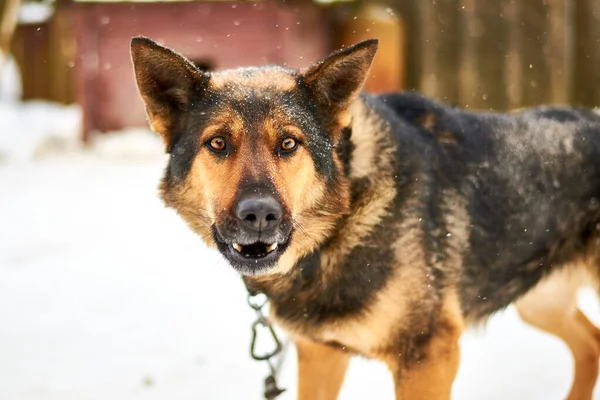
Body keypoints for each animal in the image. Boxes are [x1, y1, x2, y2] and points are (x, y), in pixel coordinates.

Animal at [130, 36, 600, 398]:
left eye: (288, 143)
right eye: (218, 143)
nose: (260, 214)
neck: (341, 222)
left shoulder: (429, 357)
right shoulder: (319, 354)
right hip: (540, 300)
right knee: (590, 346)